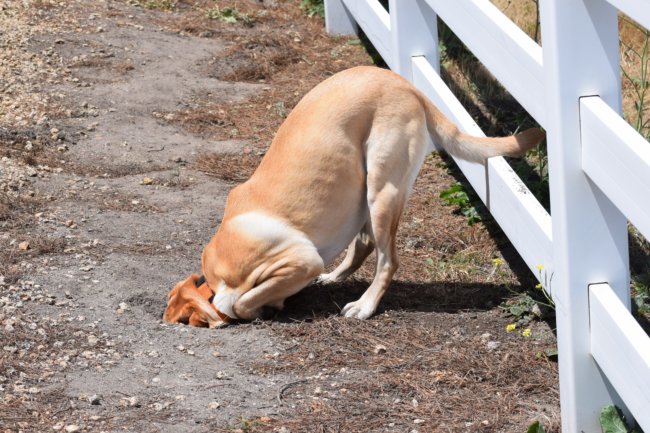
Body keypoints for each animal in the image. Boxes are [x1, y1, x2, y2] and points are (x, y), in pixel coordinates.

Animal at [162, 66, 540, 326]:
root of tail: (405, 83)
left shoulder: (298, 261)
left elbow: (240, 302)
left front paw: (259, 308)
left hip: (381, 188)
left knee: (387, 260)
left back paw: (364, 305)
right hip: (367, 194)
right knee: (364, 243)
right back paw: (334, 278)